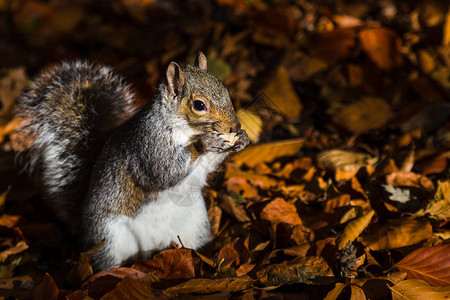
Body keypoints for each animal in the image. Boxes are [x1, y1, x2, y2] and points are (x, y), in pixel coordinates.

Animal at [16, 52, 250, 270]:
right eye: (199, 105)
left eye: (225, 91)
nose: (235, 126)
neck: (185, 129)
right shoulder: (148, 144)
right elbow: (165, 170)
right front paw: (206, 143)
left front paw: (242, 139)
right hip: (109, 238)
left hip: (196, 224)